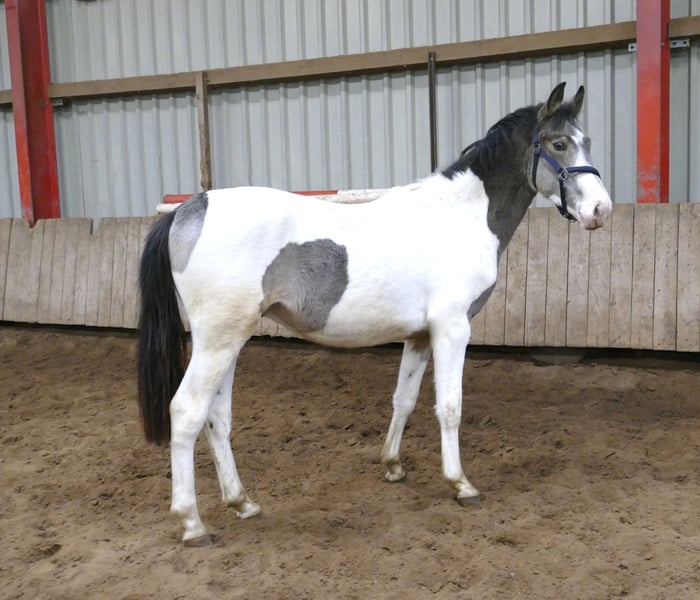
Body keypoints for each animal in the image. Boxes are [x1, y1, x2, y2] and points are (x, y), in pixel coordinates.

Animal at [138, 82, 612, 546]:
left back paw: (242, 503)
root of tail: (189, 209)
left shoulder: (419, 335)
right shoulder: (452, 328)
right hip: (217, 342)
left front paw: (393, 465)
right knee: (186, 412)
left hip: (228, 341)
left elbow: (404, 400)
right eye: (559, 143)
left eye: (587, 141)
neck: (459, 216)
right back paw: (193, 524)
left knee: (217, 418)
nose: (601, 211)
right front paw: (461, 484)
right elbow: (450, 405)